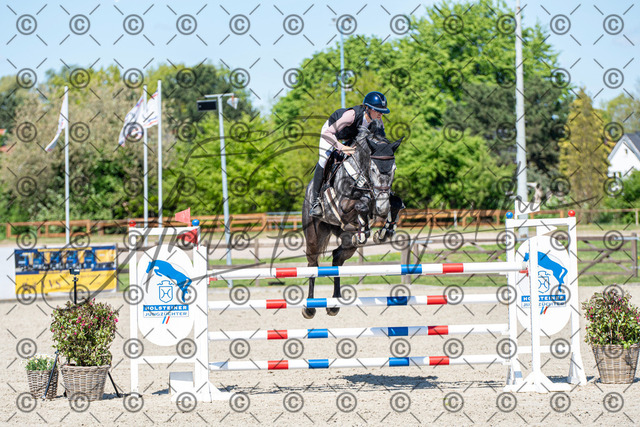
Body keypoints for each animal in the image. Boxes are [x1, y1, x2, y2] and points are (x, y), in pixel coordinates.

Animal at [301, 120, 403, 318]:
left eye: (394, 169)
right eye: (373, 168)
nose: (381, 207)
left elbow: (395, 202)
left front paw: (384, 232)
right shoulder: (343, 205)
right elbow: (361, 204)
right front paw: (365, 229)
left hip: (347, 242)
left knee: (337, 258)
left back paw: (334, 304)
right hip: (313, 234)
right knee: (312, 263)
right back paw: (309, 307)